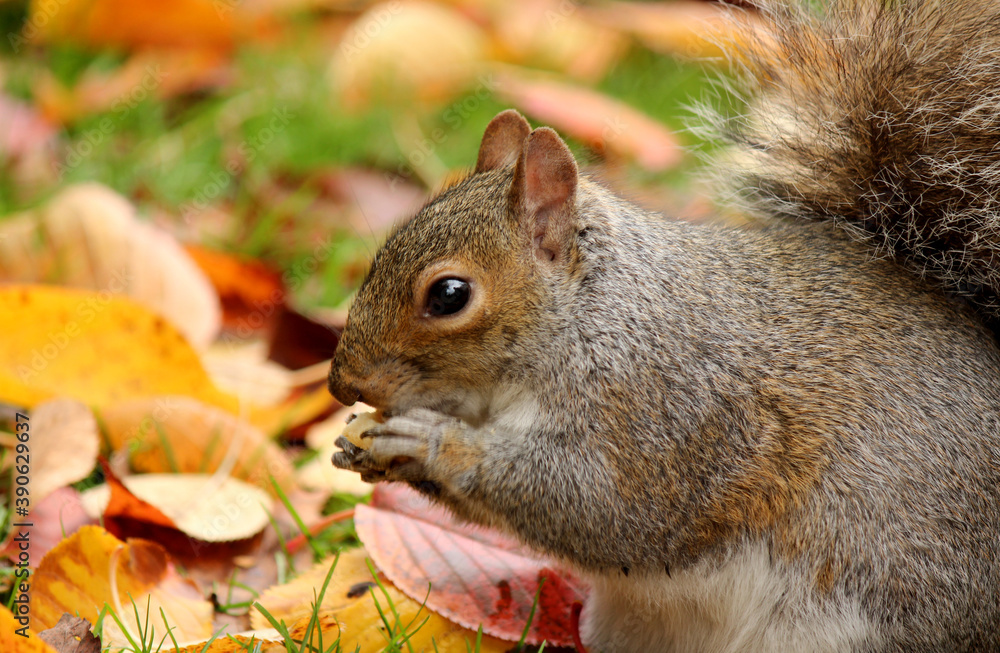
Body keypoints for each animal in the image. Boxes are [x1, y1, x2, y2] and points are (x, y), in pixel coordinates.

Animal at [329, 0, 1000, 651]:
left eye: (450, 295)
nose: (341, 385)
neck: (590, 319)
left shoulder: (668, 414)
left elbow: (606, 508)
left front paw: (430, 444)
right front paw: (362, 449)